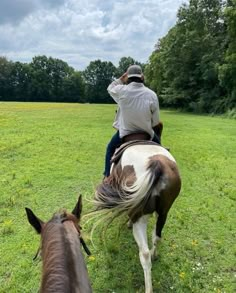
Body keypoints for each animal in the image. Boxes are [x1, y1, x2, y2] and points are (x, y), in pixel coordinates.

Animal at [95, 140, 182, 292]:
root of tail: (158, 165)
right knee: (157, 238)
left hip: (141, 217)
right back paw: (154, 255)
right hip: (164, 212)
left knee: (144, 253)